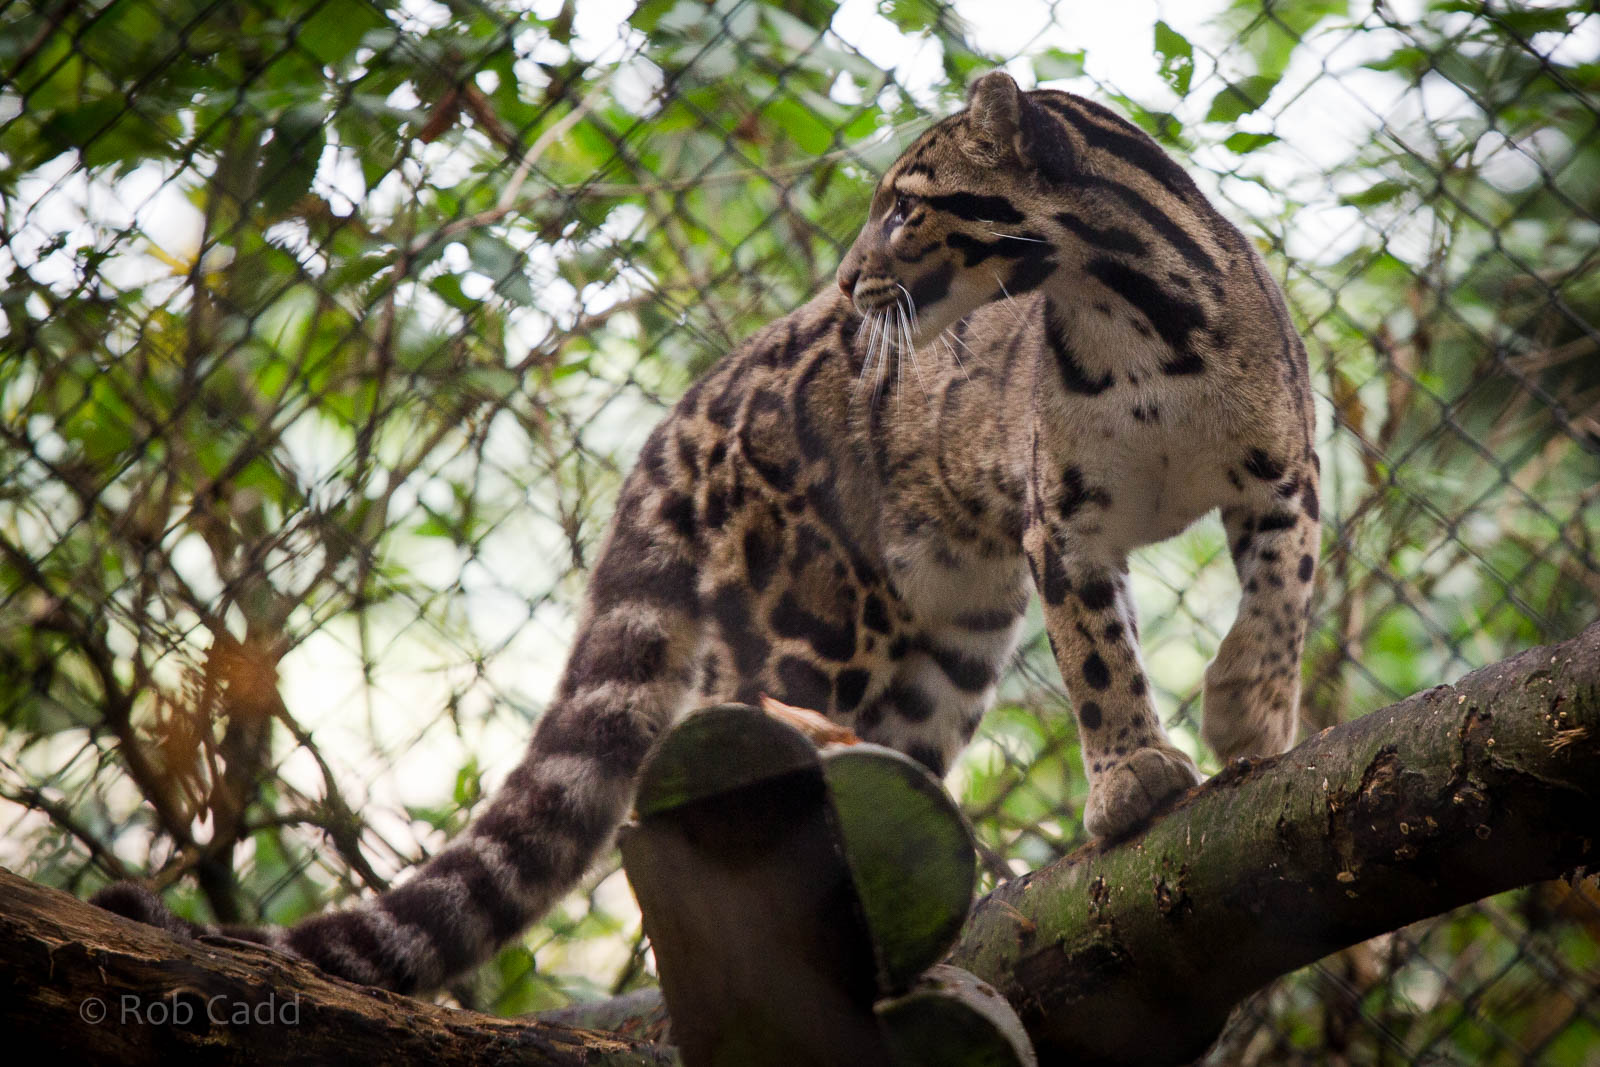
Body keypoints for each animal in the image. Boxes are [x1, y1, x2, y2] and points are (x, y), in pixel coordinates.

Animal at [94, 70, 1320, 996]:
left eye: (905, 205)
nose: (849, 278)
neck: (1132, 319)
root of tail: (689, 404)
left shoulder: (1282, 474)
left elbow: (1279, 603)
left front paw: (1246, 713)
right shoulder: (1061, 524)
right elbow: (1098, 658)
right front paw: (1133, 776)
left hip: (954, 638)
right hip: (810, 626)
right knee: (735, 744)